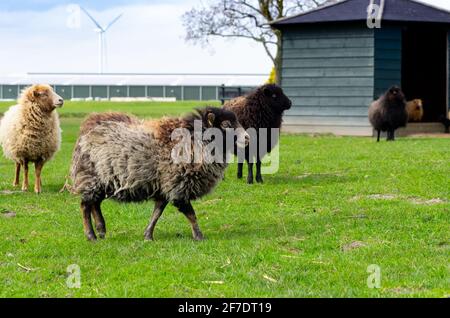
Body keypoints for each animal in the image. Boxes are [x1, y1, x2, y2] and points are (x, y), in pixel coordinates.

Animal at [70, 107, 250, 241]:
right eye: (226, 124)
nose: (248, 138)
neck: (196, 141)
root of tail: (87, 125)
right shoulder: (178, 186)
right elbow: (191, 214)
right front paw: (199, 236)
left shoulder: (164, 187)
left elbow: (157, 212)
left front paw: (148, 235)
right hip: (90, 177)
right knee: (85, 205)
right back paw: (91, 235)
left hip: (103, 180)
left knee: (95, 204)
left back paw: (101, 230)